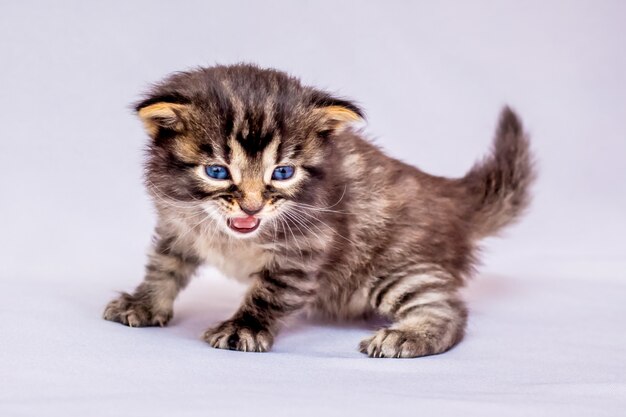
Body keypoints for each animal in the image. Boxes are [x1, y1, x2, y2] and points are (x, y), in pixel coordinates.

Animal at [103, 63, 532, 356]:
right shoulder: (177, 227)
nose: (252, 207)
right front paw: (144, 303)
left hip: (399, 266)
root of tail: (449, 195)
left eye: (283, 172)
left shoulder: (305, 247)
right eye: (217, 171)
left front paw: (244, 327)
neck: (224, 232)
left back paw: (408, 334)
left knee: (449, 309)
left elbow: (270, 293)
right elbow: (164, 267)